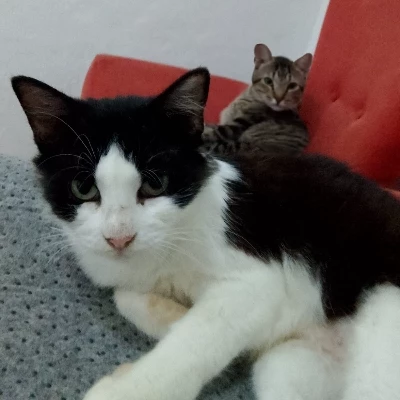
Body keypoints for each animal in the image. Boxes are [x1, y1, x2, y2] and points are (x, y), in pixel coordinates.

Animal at [12, 68, 400, 400]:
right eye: (83, 188)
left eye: (155, 184)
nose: (118, 238)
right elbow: (126, 296)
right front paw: (175, 318)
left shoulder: (257, 281)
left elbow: (201, 336)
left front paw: (127, 388)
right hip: (291, 365)